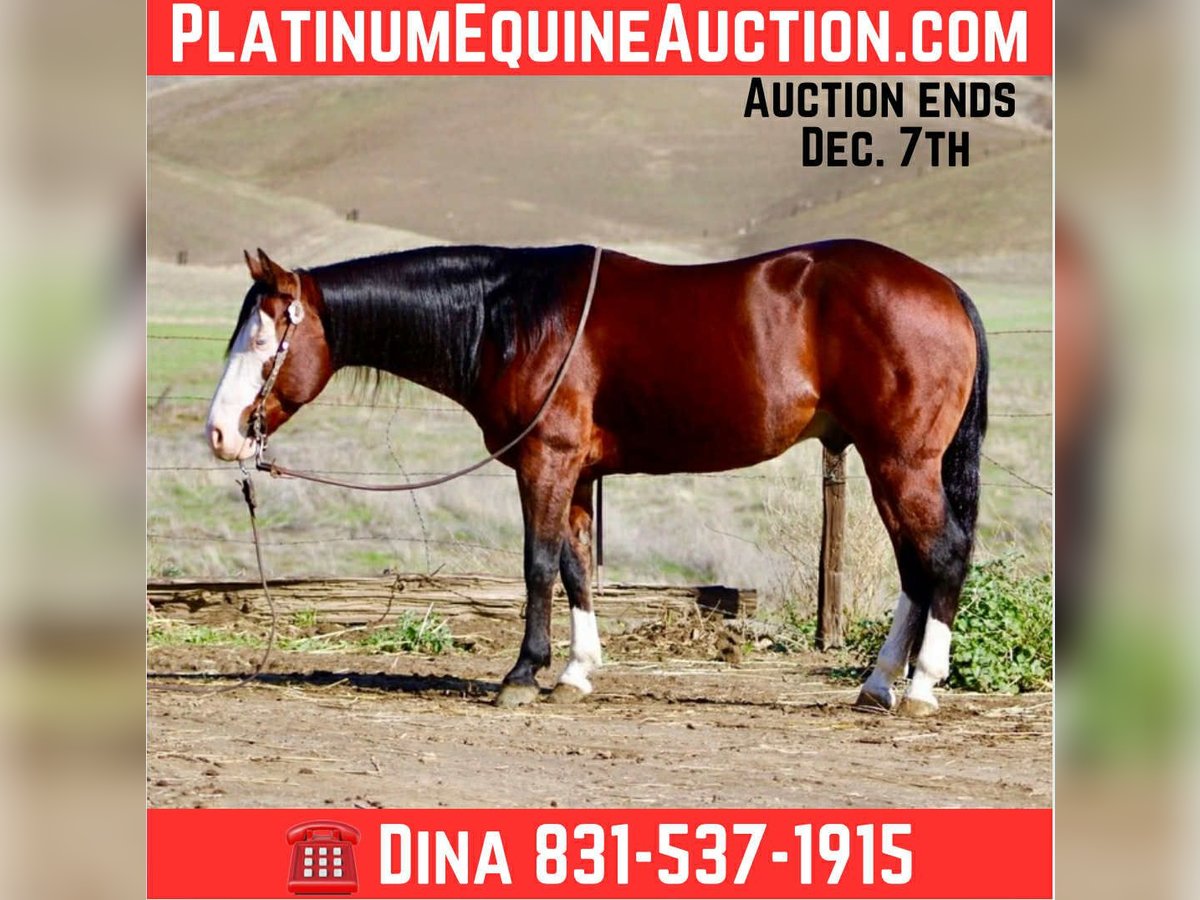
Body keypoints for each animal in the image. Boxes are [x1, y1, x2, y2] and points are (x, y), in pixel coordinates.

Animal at [206, 241, 988, 716]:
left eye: (266, 338)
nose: (219, 433)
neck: (509, 318)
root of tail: (945, 288)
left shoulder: (544, 460)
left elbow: (537, 564)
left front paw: (523, 675)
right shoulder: (576, 473)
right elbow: (577, 566)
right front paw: (577, 672)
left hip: (900, 462)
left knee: (941, 557)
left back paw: (921, 686)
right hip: (885, 462)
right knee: (915, 569)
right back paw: (878, 684)